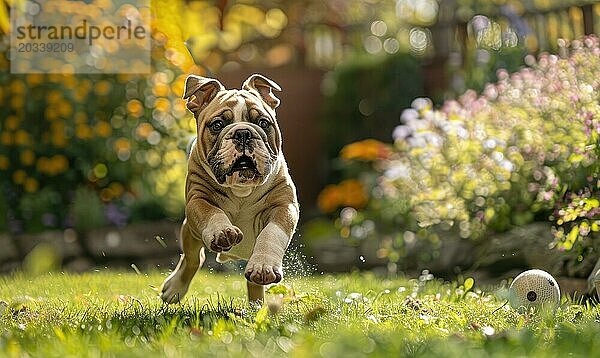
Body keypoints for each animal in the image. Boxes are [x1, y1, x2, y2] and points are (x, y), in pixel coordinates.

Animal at [161, 74, 298, 304]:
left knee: (253, 282)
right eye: (217, 125)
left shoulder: (284, 206)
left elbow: (272, 232)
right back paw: (174, 288)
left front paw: (265, 265)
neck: (240, 189)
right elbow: (211, 212)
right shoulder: (198, 199)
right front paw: (223, 232)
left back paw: (256, 302)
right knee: (193, 258)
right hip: (190, 230)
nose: (243, 133)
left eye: (263, 122)